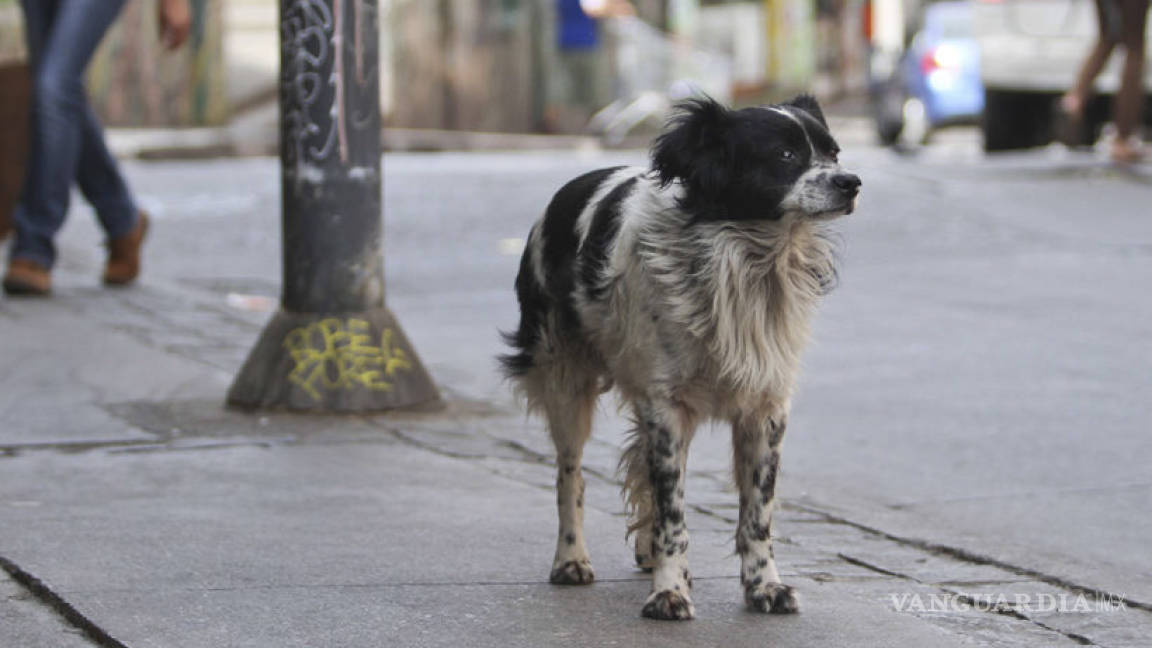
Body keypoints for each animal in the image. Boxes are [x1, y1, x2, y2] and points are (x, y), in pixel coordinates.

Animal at [499, 94, 861, 613]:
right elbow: (673, 513)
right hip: (563, 381)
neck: (745, 259)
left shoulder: (766, 409)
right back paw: (570, 559)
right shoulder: (666, 407)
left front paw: (764, 585)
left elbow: (757, 515)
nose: (851, 182)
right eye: (785, 155)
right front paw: (669, 591)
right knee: (571, 475)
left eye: (833, 152)